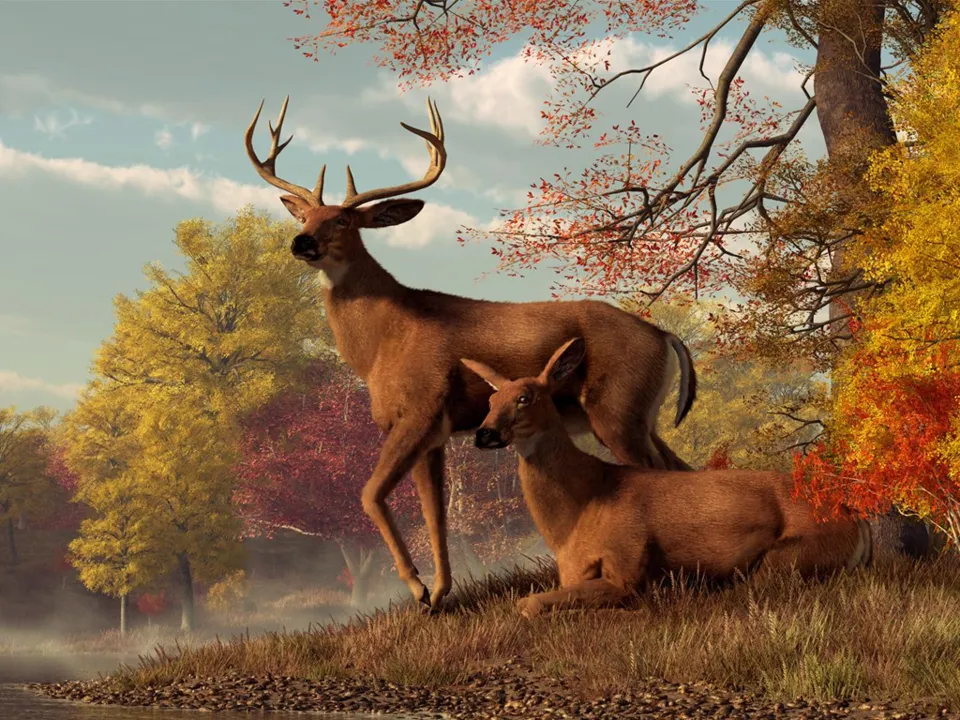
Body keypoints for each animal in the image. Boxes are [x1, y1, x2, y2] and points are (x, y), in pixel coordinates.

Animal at [244, 96, 699, 610]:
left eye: (341, 220)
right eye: (303, 217)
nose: (301, 242)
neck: (383, 341)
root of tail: (664, 335)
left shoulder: (419, 410)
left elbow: (369, 495)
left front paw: (417, 587)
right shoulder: (433, 433)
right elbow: (435, 514)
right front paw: (439, 594)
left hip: (616, 410)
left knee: (657, 473)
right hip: (641, 415)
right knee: (682, 468)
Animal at [462, 337, 873, 618]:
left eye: (525, 398)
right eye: (490, 401)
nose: (484, 434)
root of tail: (855, 518)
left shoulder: (628, 564)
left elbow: (528, 601)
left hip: (786, 560)